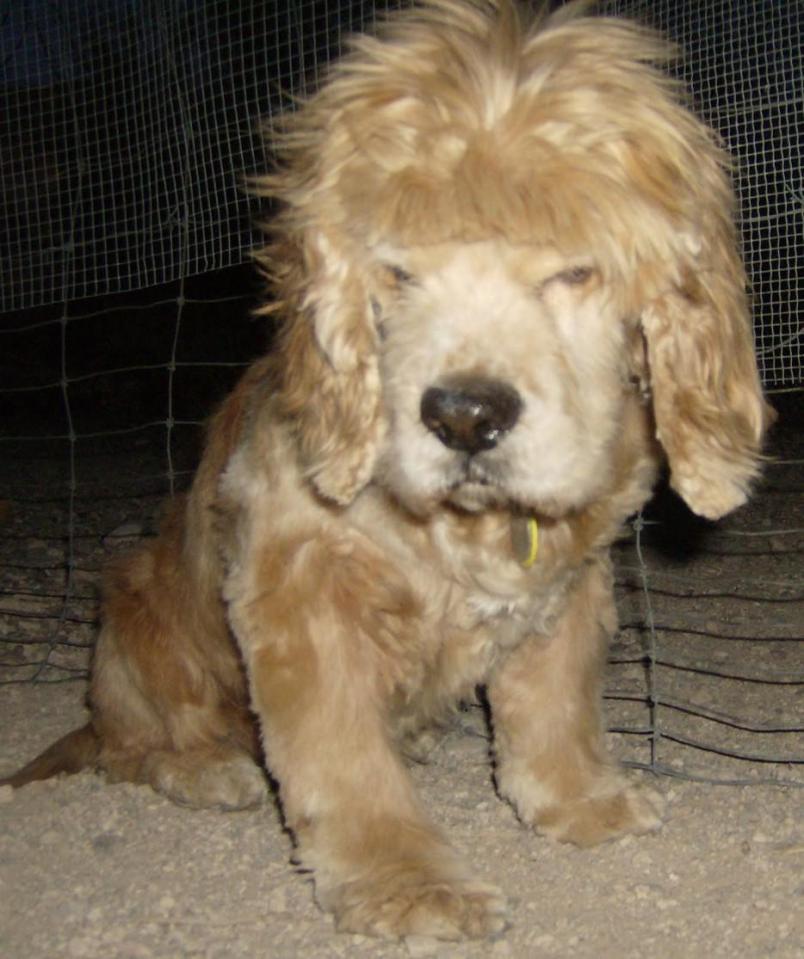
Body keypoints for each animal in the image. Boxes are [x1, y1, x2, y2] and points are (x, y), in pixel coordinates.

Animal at [3, 0, 768, 940]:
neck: (462, 528)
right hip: (139, 615)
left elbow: (557, 702)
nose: (465, 416)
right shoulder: (303, 597)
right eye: (398, 271)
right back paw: (206, 768)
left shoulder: (570, 580)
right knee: (133, 744)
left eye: (576, 269)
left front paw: (580, 799)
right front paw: (409, 886)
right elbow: (345, 761)